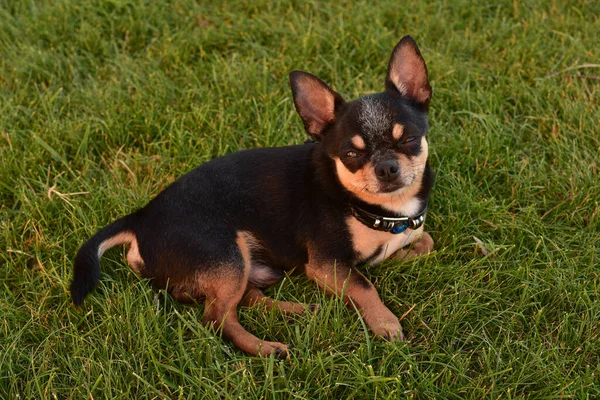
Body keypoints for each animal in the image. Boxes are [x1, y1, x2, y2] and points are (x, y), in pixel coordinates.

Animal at [71, 36, 436, 358]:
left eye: (409, 139)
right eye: (351, 154)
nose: (386, 167)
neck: (378, 208)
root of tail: (141, 217)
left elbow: (424, 242)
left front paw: (397, 256)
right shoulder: (326, 263)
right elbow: (363, 286)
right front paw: (385, 323)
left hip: (241, 267)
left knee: (243, 299)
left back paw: (297, 309)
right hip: (227, 257)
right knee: (216, 318)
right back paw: (265, 348)